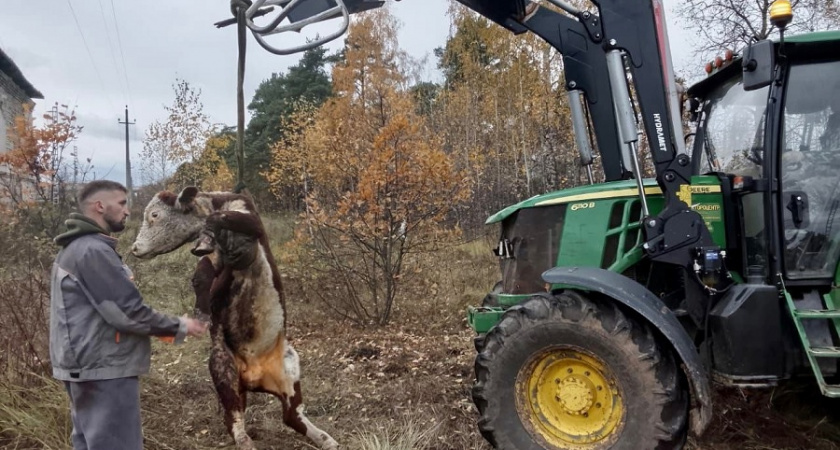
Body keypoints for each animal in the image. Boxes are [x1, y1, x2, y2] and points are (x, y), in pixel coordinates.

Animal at [130, 187, 336, 450]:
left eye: (154, 215)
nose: (135, 248)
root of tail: (255, 378)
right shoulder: (213, 258)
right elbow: (202, 273)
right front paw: (201, 310)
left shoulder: (251, 221)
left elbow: (222, 220)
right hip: (221, 365)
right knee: (235, 417)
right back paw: (247, 440)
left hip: (290, 365)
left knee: (292, 414)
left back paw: (326, 439)